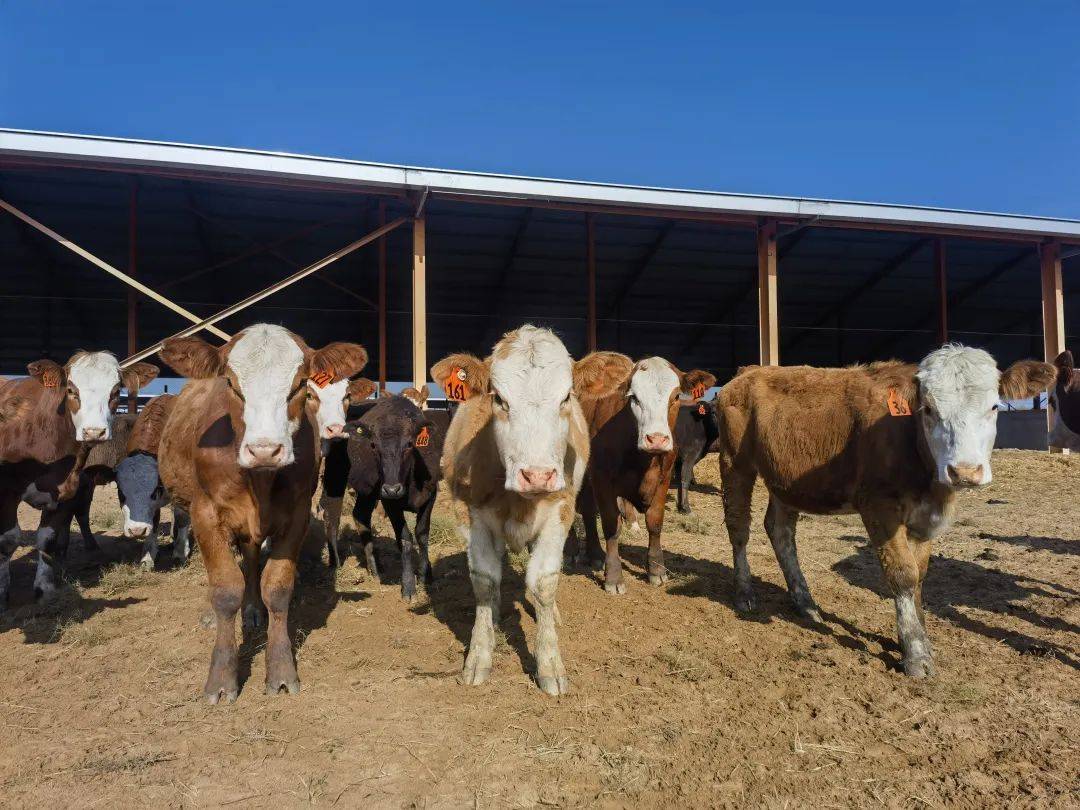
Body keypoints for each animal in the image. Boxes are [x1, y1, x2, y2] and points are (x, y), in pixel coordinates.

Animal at [0, 352, 157, 604]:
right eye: (71, 390)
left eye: (116, 391)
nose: (94, 432)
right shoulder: (7, 491)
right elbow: (8, 540)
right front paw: (3, 592)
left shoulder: (68, 490)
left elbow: (48, 538)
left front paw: (44, 587)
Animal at [156, 324, 367, 704]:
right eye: (230, 383)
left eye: (300, 384)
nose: (265, 450)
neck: (260, 480)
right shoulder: (206, 514)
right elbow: (225, 589)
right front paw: (222, 678)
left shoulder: (296, 516)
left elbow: (277, 587)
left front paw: (281, 670)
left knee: (253, 557)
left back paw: (253, 609)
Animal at [434, 328, 630, 699]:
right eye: (498, 398)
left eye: (566, 397)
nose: (537, 475)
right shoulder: (471, 515)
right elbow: (485, 580)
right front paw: (479, 655)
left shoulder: (560, 512)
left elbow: (543, 581)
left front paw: (550, 663)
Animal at [574, 354, 717, 596]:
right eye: (634, 397)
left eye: (676, 396)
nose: (656, 439)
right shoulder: (602, 480)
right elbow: (612, 527)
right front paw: (614, 576)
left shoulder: (664, 477)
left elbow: (655, 522)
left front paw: (656, 570)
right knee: (584, 508)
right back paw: (593, 554)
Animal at [717, 343, 1054, 678]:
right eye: (928, 409)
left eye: (995, 407)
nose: (964, 472)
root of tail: (751, 371)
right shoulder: (878, 507)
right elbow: (903, 574)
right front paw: (915, 654)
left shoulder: (924, 517)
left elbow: (919, 576)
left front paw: (919, 640)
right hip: (735, 462)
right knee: (739, 527)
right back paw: (745, 593)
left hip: (785, 479)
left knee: (780, 530)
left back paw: (805, 603)